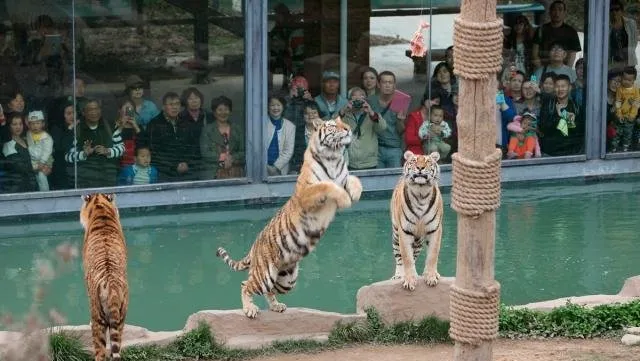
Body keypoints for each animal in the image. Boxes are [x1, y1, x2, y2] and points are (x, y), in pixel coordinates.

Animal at [218, 116, 362, 316]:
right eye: (333, 125)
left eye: (343, 122)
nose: (348, 129)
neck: (333, 156)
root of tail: (254, 246)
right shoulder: (306, 193)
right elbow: (327, 185)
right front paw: (344, 198)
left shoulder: (344, 177)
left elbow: (355, 179)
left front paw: (354, 194)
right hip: (264, 274)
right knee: (245, 284)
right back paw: (250, 309)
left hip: (287, 279)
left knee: (269, 290)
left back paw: (276, 306)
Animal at [390, 150, 444, 292]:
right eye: (414, 161)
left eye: (428, 161)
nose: (420, 168)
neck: (421, 192)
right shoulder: (404, 231)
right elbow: (407, 258)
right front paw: (409, 280)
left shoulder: (435, 229)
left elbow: (432, 255)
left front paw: (431, 276)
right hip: (396, 233)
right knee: (399, 257)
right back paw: (399, 275)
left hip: (419, 240)